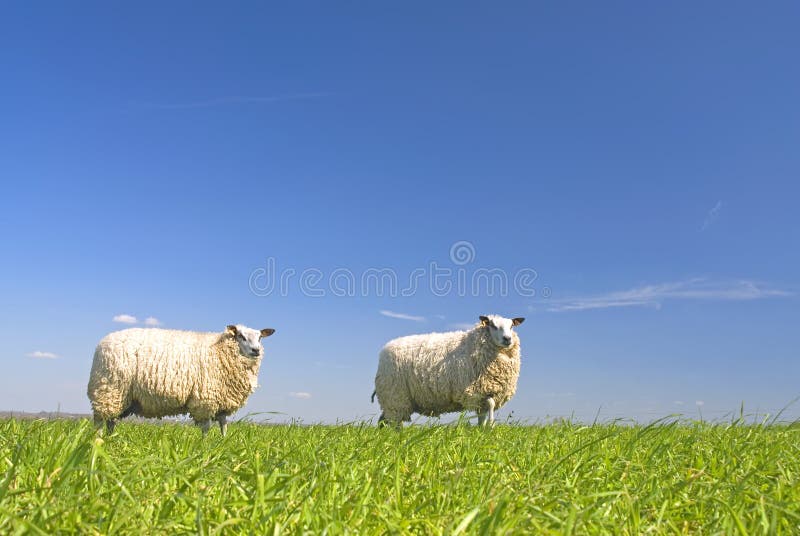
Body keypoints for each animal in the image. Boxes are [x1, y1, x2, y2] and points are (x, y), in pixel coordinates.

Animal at [86, 322, 276, 436]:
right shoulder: (206, 398)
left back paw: (111, 438)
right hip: (109, 388)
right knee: (99, 420)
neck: (220, 350)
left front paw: (223, 442)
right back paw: (99, 441)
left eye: (260, 337)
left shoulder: (223, 399)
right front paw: (205, 445)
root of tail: (102, 343)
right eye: (241, 336)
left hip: (120, 396)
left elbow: (223, 424)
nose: (256, 350)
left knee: (111, 420)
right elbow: (206, 426)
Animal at [374, 314, 524, 428]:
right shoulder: (475, 391)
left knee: (384, 420)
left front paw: (483, 430)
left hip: (394, 399)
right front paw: (491, 426)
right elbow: (490, 406)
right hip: (395, 395)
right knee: (394, 422)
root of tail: (384, 351)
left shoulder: (484, 393)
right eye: (493, 325)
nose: (507, 339)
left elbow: (484, 413)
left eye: (512, 326)